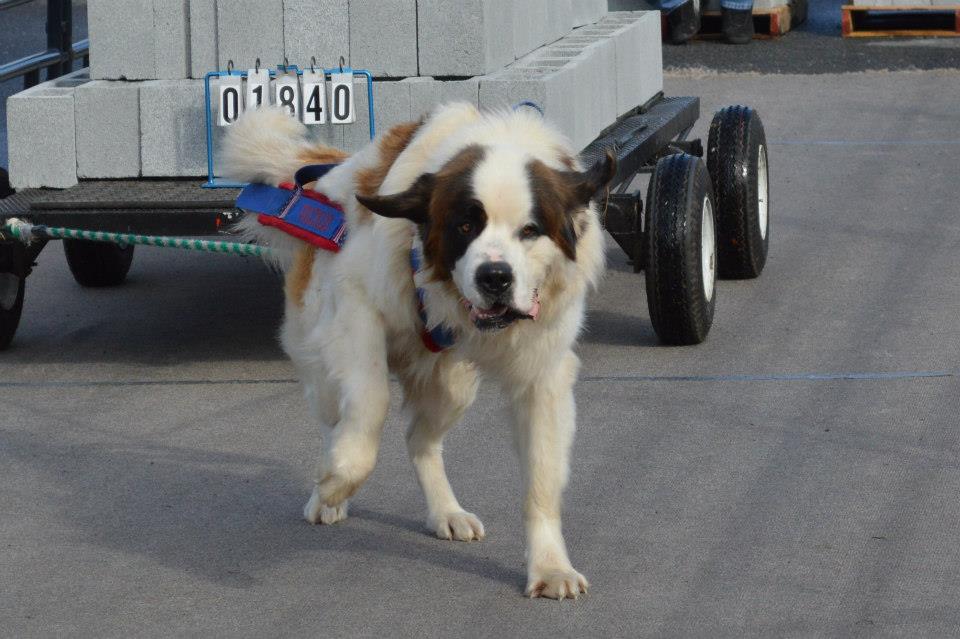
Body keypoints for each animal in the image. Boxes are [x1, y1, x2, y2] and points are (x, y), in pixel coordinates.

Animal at [224, 104, 616, 600]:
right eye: (465, 226)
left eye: (530, 231)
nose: (495, 277)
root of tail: (328, 180)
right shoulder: (355, 304)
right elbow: (369, 407)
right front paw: (333, 483)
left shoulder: (543, 376)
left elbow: (542, 477)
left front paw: (550, 566)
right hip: (321, 349)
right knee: (335, 420)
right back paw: (328, 493)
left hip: (452, 385)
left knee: (420, 438)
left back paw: (445, 510)